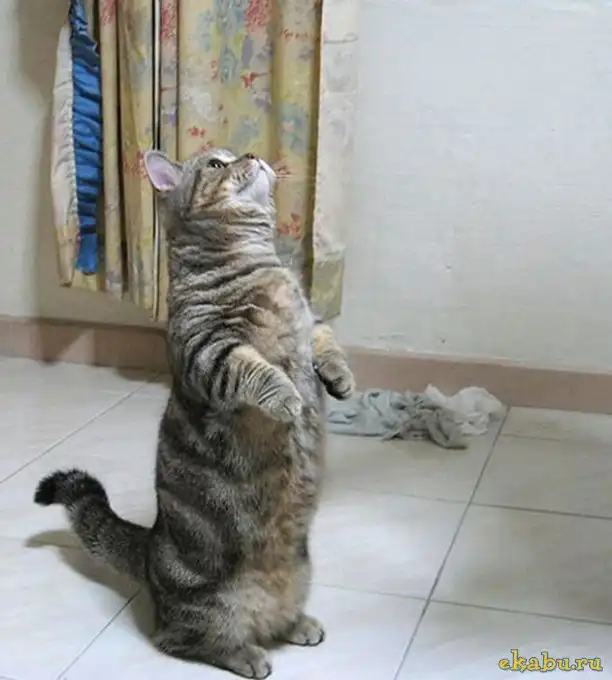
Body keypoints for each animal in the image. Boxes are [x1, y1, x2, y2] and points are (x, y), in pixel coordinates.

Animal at [34, 147, 355, 679]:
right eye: (217, 164)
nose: (252, 154)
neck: (259, 261)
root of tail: (149, 549)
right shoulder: (211, 350)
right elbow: (260, 372)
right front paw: (289, 397)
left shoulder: (311, 323)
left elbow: (327, 343)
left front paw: (340, 378)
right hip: (208, 605)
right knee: (181, 640)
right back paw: (247, 655)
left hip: (300, 574)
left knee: (272, 617)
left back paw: (297, 624)